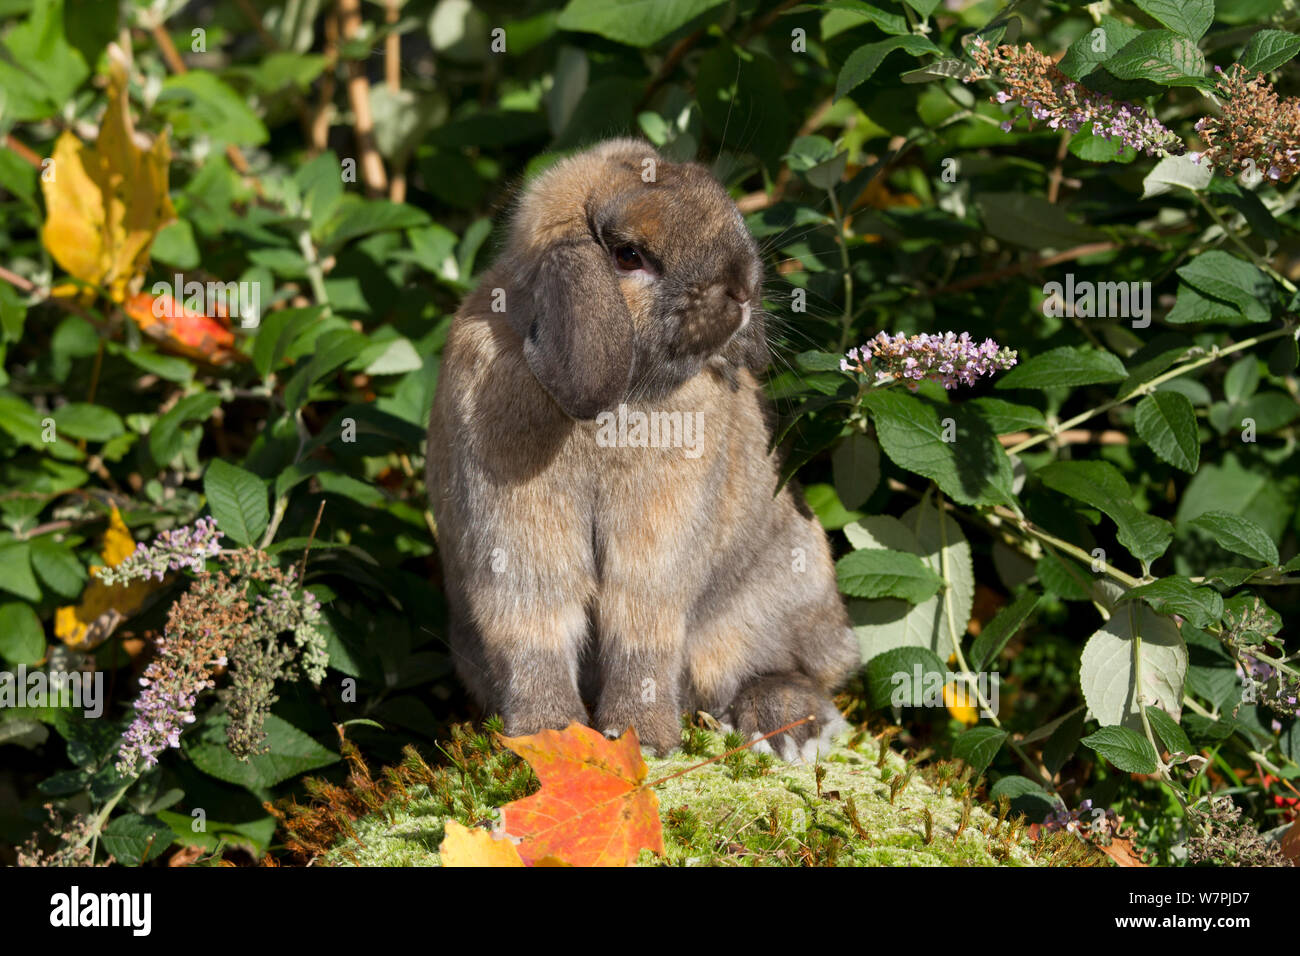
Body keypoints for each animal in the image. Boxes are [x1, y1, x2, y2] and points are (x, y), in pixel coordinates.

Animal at [426, 138, 859, 761]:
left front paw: (643, 739)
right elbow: (534, 632)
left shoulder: (657, 556)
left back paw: (786, 727)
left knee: (790, 669)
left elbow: (641, 632)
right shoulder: (515, 548)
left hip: (791, 582)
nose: (743, 289)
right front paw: (547, 736)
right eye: (628, 255)